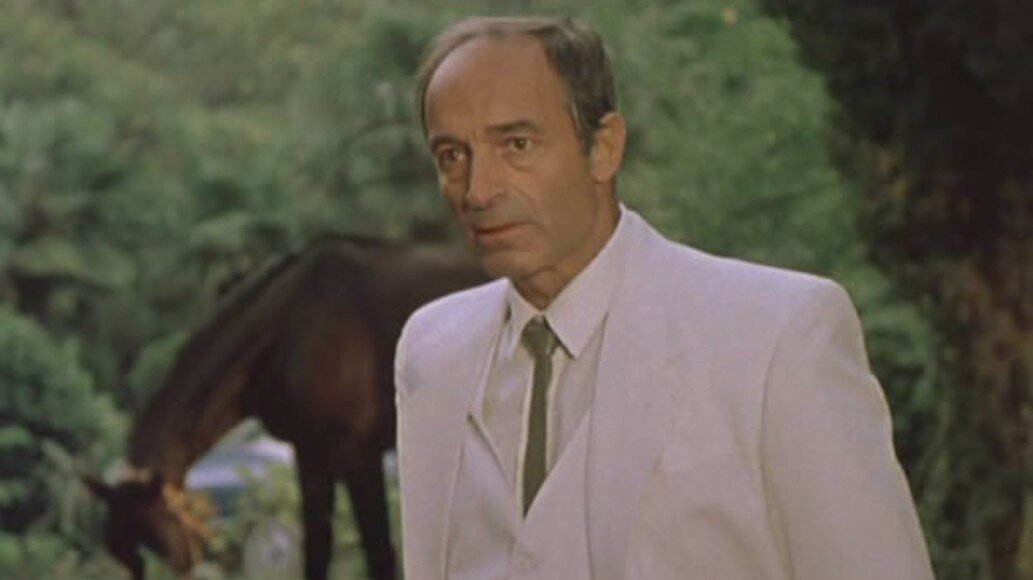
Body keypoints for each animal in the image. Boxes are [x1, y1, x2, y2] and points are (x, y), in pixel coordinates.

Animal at [84, 235, 489, 580]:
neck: (293, 325)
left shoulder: (359, 454)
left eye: (157, 544)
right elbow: (317, 552)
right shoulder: (309, 454)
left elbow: (379, 556)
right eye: (120, 554)